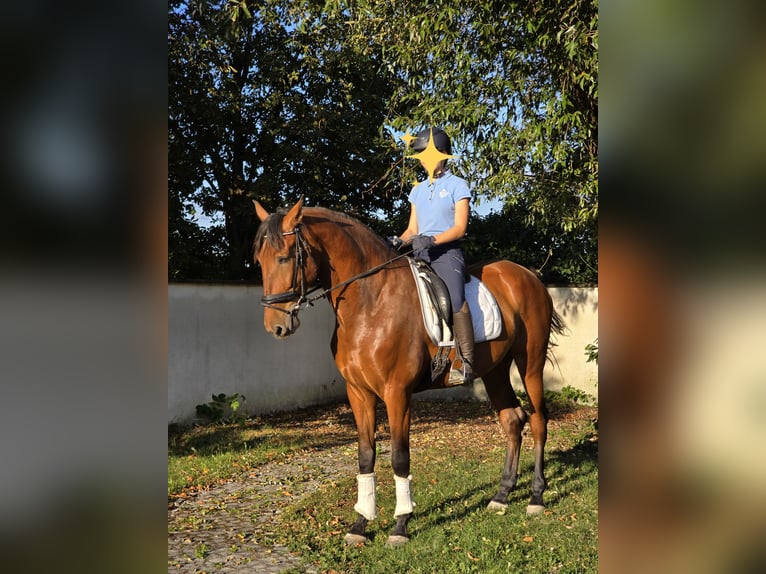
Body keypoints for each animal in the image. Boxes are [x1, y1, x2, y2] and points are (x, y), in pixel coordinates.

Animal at [252, 198, 564, 548]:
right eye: (259, 260)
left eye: (284, 257)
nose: (276, 327)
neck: (370, 302)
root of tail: (527, 275)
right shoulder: (358, 393)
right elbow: (365, 455)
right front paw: (360, 525)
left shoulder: (396, 393)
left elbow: (400, 457)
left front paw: (400, 525)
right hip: (494, 370)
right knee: (512, 420)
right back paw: (501, 496)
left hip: (530, 362)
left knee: (538, 421)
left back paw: (536, 497)